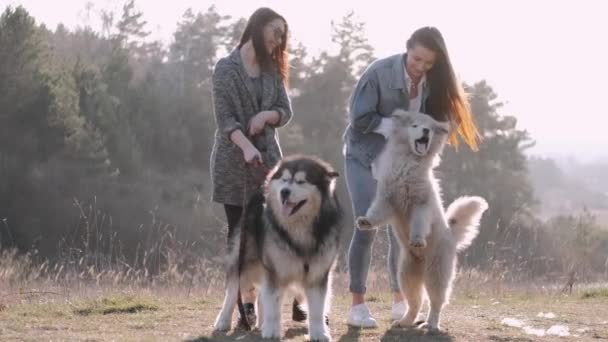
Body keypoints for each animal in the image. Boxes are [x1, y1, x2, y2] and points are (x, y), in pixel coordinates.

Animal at [356, 109, 490, 332]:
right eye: (415, 125)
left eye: (429, 127)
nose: (426, 131)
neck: (409, 163)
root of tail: (452, 237)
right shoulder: (387, 200)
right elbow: (376, 212)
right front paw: (366, 221)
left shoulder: (421, 204)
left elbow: (418, 223)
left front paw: (417, 240)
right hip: (406, 275)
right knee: (415, 302)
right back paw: (404, 321)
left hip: (436, 273)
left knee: (436, 302)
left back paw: (431, 324)